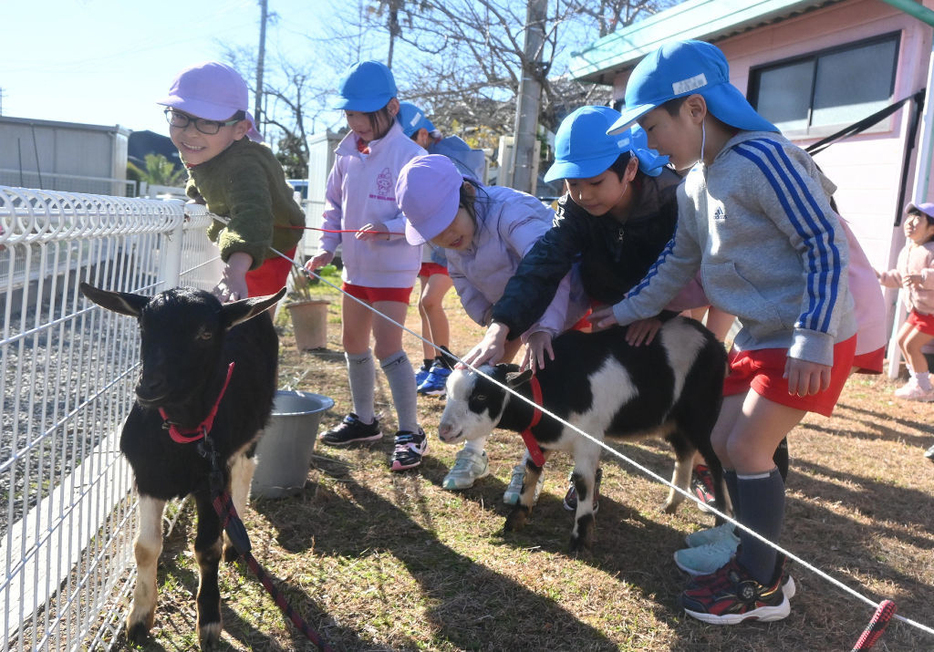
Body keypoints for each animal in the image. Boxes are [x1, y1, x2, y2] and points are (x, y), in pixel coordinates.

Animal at [79, 282, 286, 648]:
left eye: (205, 333)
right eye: (143, 326)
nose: (148, 386)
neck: (181, 430)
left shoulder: (211, 481)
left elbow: (207, 549)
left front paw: (210, 622)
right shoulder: (147, 477)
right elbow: (146, 547)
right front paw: (139, 618)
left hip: (252, 432)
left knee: (246, 471)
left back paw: (236, 543)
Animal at [440, 318, 732, 552]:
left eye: (480, 396)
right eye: (448, 389)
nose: (444, 431)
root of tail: (716, 344)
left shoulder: (588, 438)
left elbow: (581, 482)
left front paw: (580, 539)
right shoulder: (543, 437)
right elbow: (531, 470)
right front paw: (516, 519)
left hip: (702, 415)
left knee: (715, 463)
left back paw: (722, 519)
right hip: (674, 421)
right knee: (684, 452)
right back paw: (671, 505)